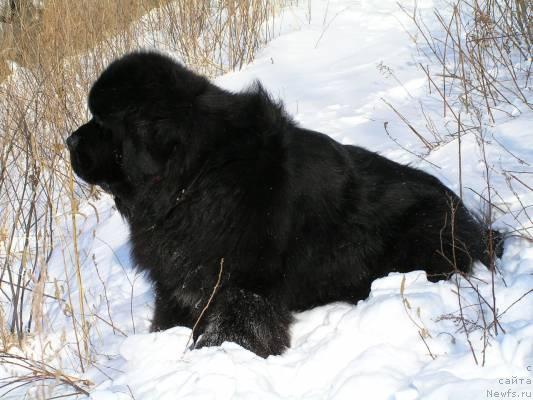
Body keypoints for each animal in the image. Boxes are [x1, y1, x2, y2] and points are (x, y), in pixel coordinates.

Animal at [67, 51, 498, 358]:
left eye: (102, 123)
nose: (69, 141)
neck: (198, 174)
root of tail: (471, 218)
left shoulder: (241, 280)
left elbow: (233, 326)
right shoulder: (178, 280)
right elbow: (167, 319)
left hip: (424, 232)